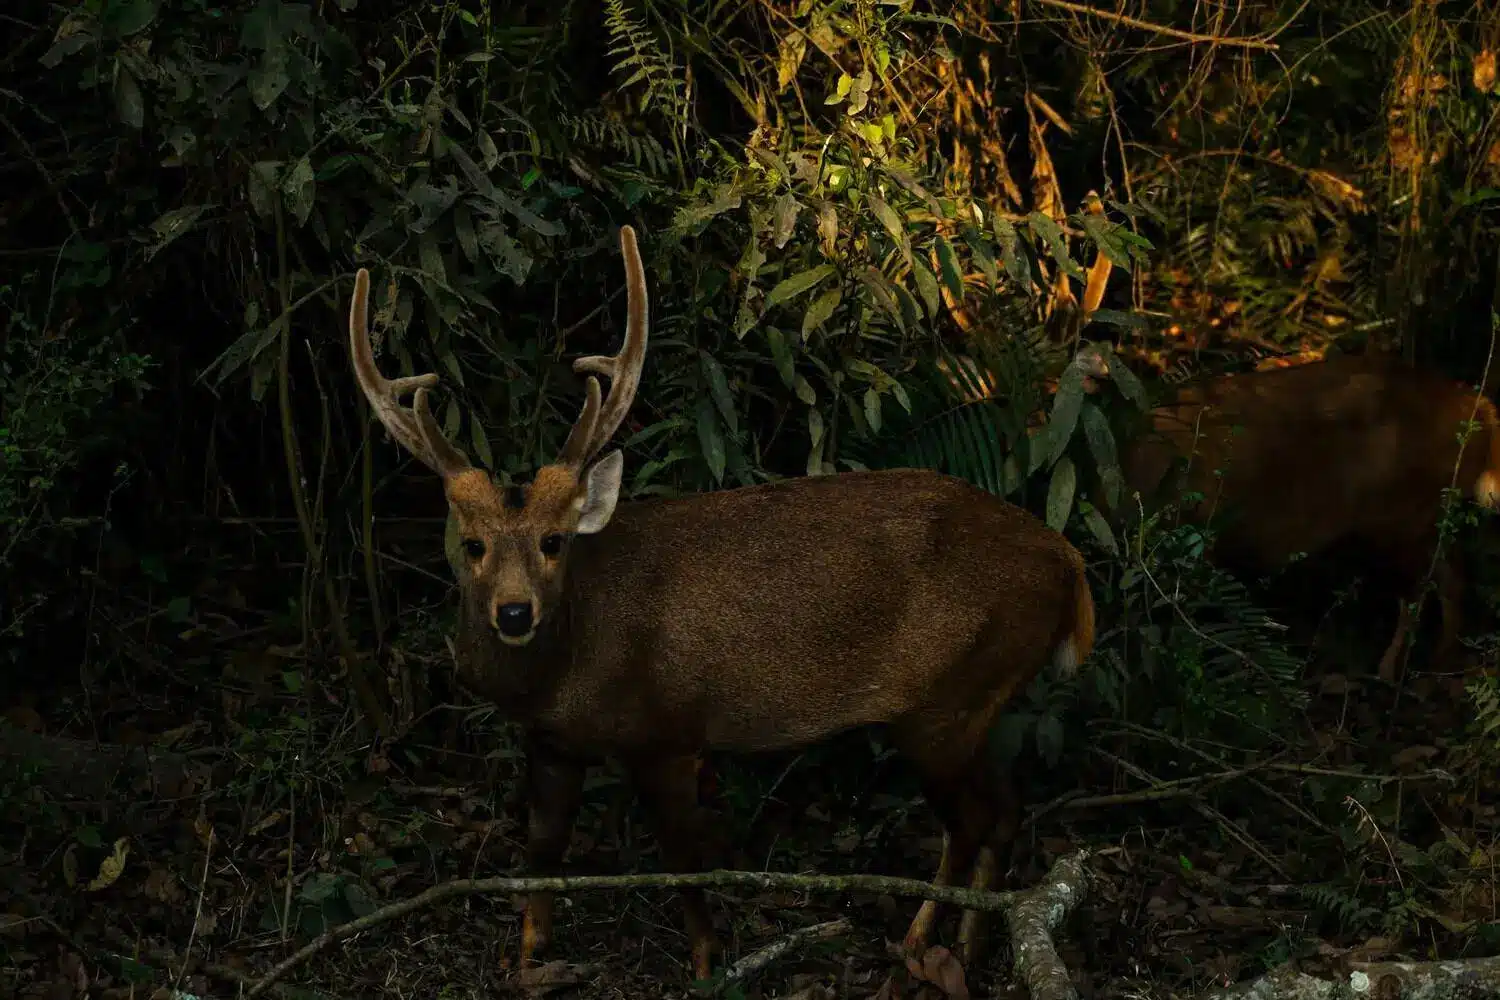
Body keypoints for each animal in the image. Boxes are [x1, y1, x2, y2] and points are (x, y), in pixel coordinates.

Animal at [345, 224, 1098, 977]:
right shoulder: (553, 743)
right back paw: (969, 944)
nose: (513, 612)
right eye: (473, 545)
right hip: (977, 704)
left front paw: (709, 959)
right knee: (1007, 809)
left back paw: (918, 944)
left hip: (945, 698)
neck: (571, 666)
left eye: (554, 541)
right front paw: (531, 960)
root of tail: (1070, 565)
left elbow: (683, 860)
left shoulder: (668, 731)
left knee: (971, 821)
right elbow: (542, 854)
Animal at [1122, 352, 1500, 680]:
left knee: (1419, 592)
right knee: (1453, 576)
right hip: (1424, 520)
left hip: (1402, 521)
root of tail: (1478, 405)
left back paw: (1390, 671)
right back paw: (1438, 661)